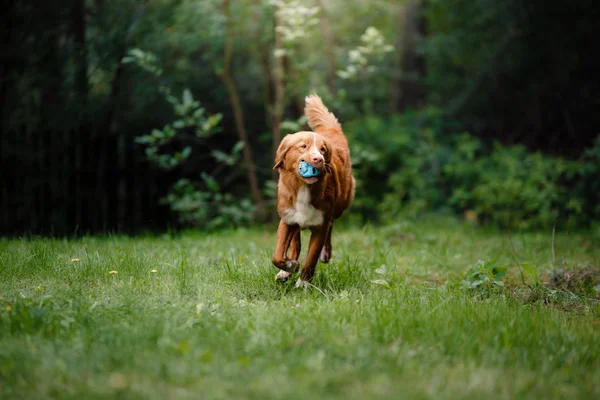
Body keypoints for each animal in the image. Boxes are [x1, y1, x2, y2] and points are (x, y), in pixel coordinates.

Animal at [270, 94, 354, 288]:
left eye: (323, 150)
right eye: (303, 146)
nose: (319, 159)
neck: (303, 188)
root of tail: (331, 130)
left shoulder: (320, 227)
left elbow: (310, 260)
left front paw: (303, 284)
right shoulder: (287, 219)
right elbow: (277, 255)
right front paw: (289, 266)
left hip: (341, 205)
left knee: (331, 226)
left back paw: (325, 253)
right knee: (296, 242)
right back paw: (287, 269)